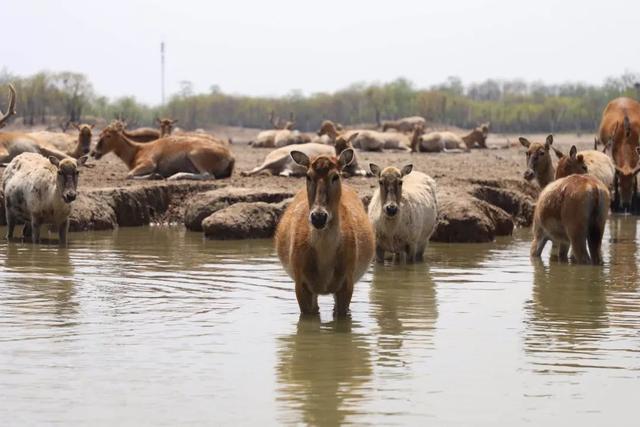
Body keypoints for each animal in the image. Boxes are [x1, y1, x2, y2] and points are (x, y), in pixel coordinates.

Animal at [92, 127, 235, 181]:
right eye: (100, 134)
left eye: (108, 135)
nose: (94, 152)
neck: (138, 150)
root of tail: (230, 156)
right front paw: (156, 175)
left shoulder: (149, 164)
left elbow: (129, 175)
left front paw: (155, 175)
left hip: (194, 155)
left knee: (208, 175)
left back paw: (174, 177)